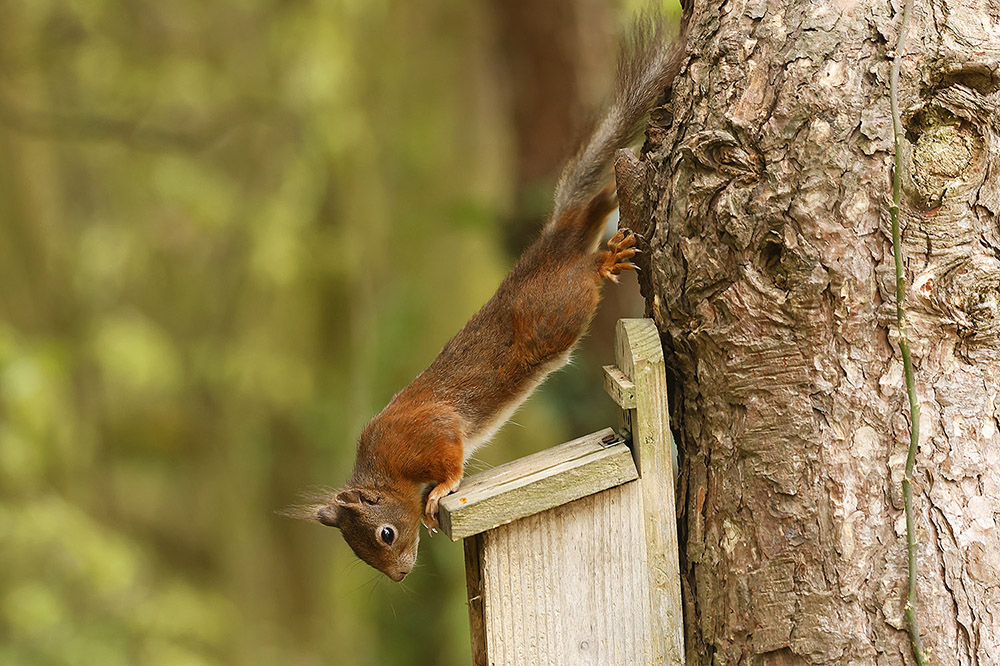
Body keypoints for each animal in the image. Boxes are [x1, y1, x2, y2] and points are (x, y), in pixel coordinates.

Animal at [300, 13, 684, 580]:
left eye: (385, 534)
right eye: (359, 552)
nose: (400, 575)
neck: (386, 469)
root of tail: (552, 246)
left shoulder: (431, 433)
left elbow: (450, 461)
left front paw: (440, 493)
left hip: (558, 307)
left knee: (585, 272)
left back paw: (606, 258)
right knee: (598, 204)